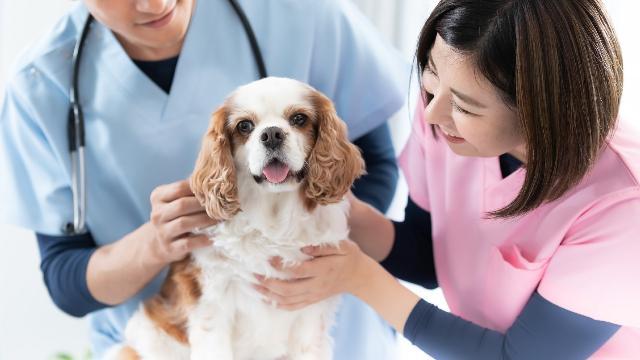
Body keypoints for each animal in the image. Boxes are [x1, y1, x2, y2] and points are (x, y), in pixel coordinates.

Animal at [110, 76, 364, 360]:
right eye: (245, 125)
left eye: (299, 119)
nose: (272, 134)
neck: (273, 212)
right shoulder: (212, 301)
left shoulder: (311, 311)